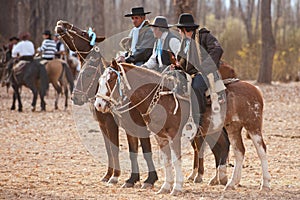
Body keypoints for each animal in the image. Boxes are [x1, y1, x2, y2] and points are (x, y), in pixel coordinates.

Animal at [94, 60, 272, 194]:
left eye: (110, 80)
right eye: (99, 81)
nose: (99, 104)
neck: (160, 98)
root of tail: (254, 89)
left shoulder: (174, 136)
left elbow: (175, 159)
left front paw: (177, 187)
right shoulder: (160, 137)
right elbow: (166, 160)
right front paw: (166, 187)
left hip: (253, 126)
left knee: (261, 151)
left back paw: (265, 184)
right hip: (232, 127)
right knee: (239, 151)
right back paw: (231, 183)